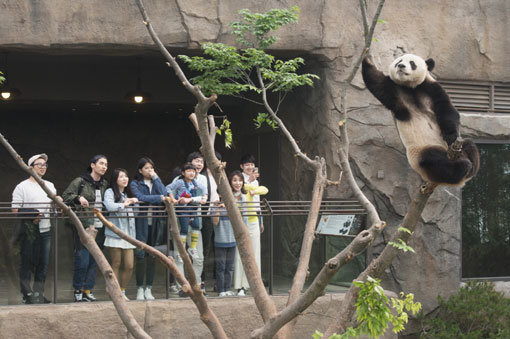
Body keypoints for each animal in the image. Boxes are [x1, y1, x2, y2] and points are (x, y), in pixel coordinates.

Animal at [362, 53, 478, 187]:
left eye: (412, 63)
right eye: (399, 61)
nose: (401, 66)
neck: (411, 87)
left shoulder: (432, 88)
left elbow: (446, 109)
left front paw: (450, 135)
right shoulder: (396, 93)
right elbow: (378, 84)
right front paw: (367, 58)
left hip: (453, 148)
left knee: (469, 144)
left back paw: (471, 166)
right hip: (418, 154)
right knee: (433, 160)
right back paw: (462, 167)